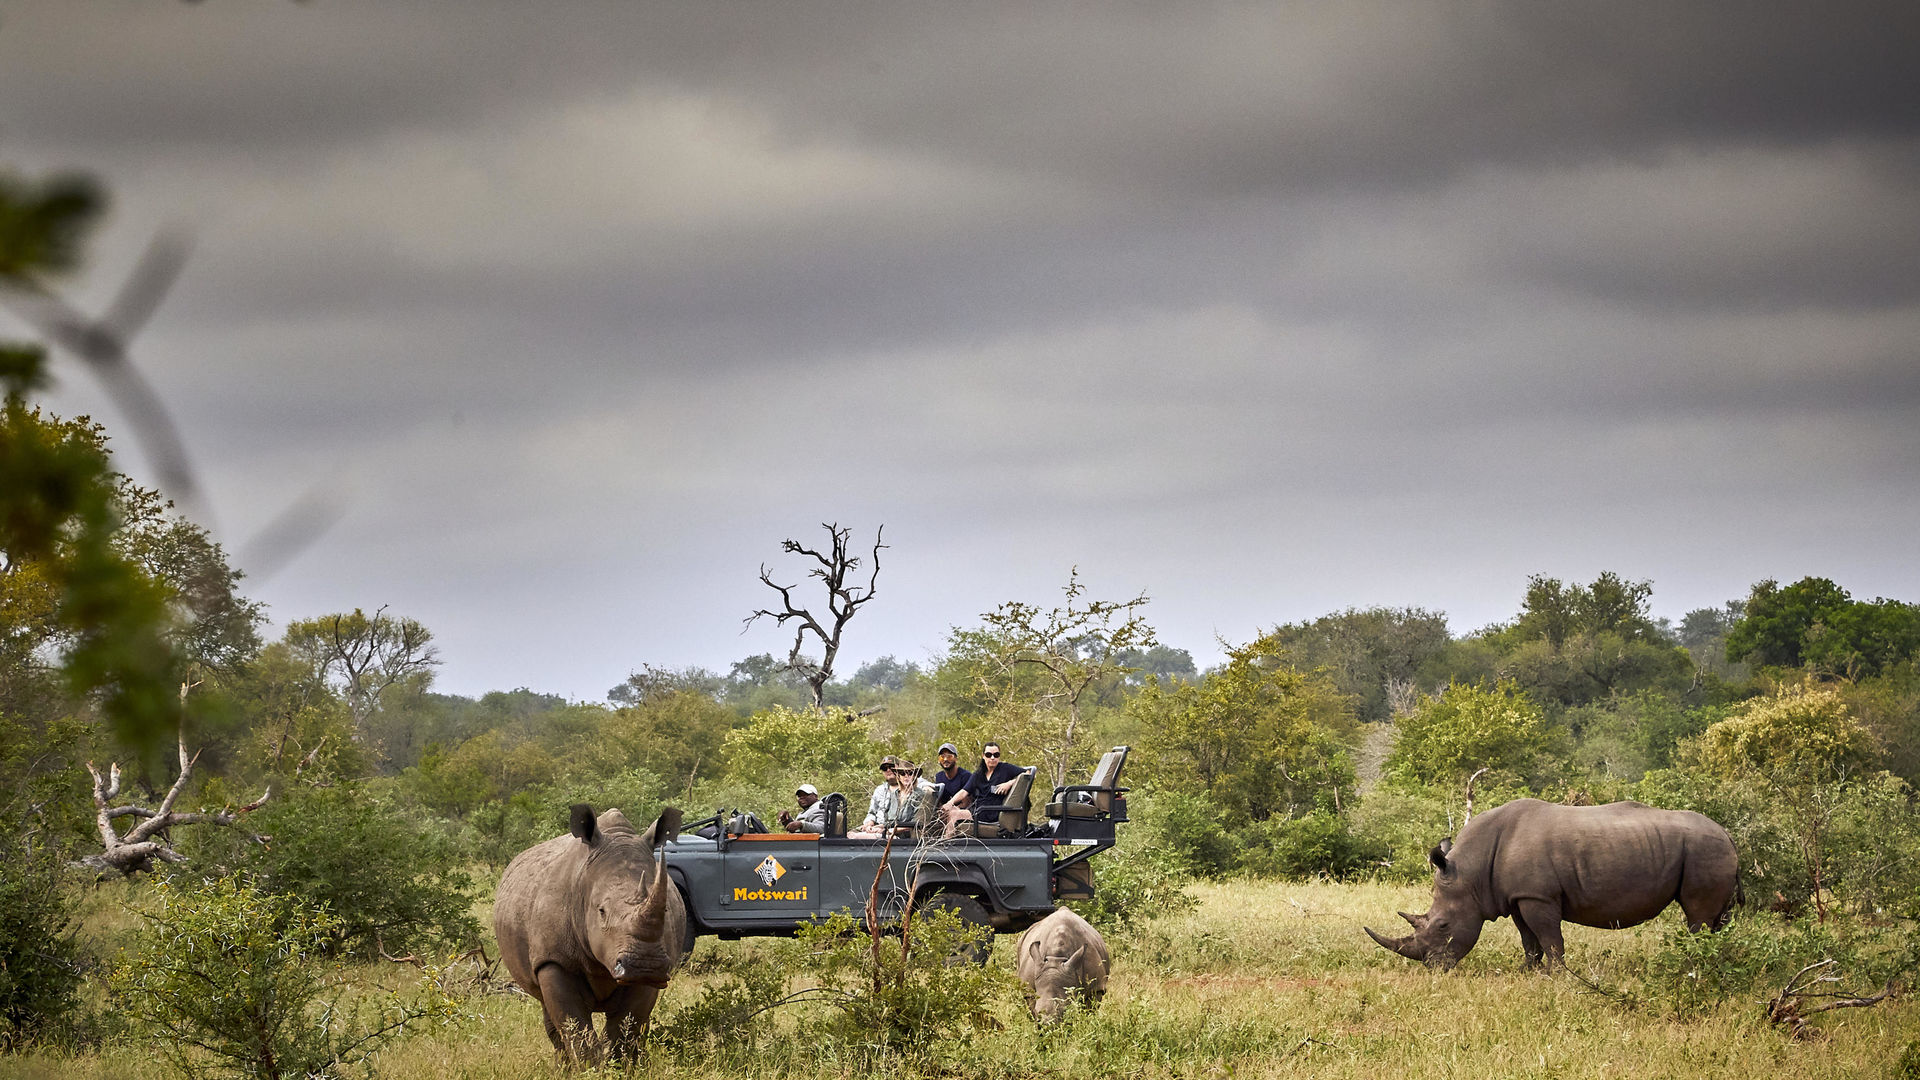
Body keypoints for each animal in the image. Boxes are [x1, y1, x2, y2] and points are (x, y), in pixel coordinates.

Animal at [495, 799, 691, 1060]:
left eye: (667, 909)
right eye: (601, 911)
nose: (644, 965)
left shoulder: (655, 971)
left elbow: (626, 1028)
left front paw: (618, 1064)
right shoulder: (553, 960)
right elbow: (575, 1028)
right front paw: (588, 1065)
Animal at [1367, 799, 1743, 968]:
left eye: (1443, 924)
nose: (1433, 967)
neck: (1471, 873)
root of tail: (1728, 834)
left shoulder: (1539, 897)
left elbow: (1550, 939)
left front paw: (1556, 977)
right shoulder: (1518, 897)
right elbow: (1529, 940)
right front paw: (1528, 972)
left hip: (1704, 850)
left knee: (1697, 917)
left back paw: (1690, 966)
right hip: (1710, 851)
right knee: (1718, 920)